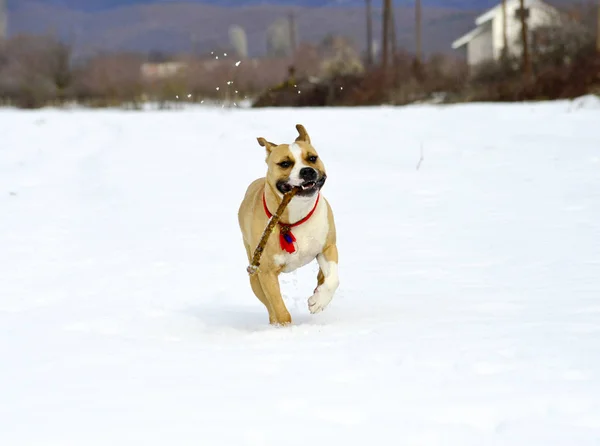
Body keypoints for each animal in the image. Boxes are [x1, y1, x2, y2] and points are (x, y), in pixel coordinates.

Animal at [240, 123, 342, 326]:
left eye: (312, 158)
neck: (296, 215)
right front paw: (286, 329)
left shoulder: (327, 247)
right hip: (254, 275)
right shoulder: (266, 273)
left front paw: (318, 302)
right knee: (270, 307)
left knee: (322, 277)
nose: (307, 171)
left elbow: (333, 279)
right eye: (285, 164)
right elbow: (279, 309)